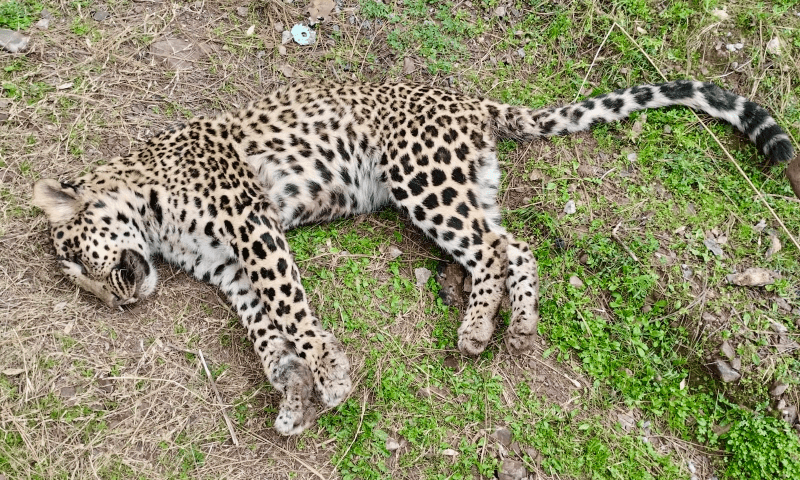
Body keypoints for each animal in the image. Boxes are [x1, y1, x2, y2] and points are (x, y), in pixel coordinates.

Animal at [32, 79, 795, 435]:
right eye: (82, 284)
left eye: (77, 261)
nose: (117, 297)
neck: (150, 206)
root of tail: (467, 97)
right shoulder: (231, 268)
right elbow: (266, 335)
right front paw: (293, 395)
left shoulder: (254, 228)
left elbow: (293, 312)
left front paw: (331, 378)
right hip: (463, 187)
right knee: (511, 243)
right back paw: (512, 323)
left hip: (421, 179)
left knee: (489, 250)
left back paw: (477, 327)